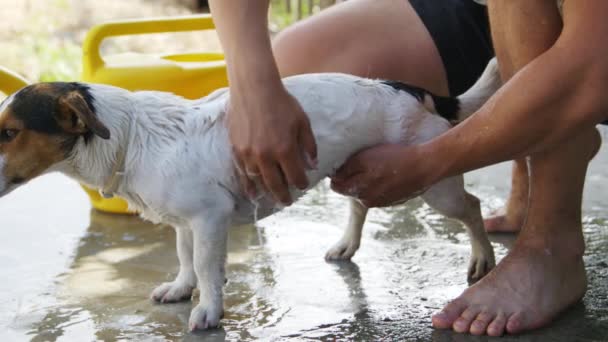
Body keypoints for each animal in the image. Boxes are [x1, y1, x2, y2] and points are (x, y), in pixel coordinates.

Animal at [0, 58, 498, 328]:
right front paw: (182, 288)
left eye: (9, 133)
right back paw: (346, 245)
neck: (133, 138)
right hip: (358, 172)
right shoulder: (186, 223)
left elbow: (206, 266)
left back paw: (483, 260)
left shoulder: (209, 218)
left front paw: (208, 309)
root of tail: (409, 89)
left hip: (433, 185)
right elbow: (185, 259)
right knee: (359, 203)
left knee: (472, 207)